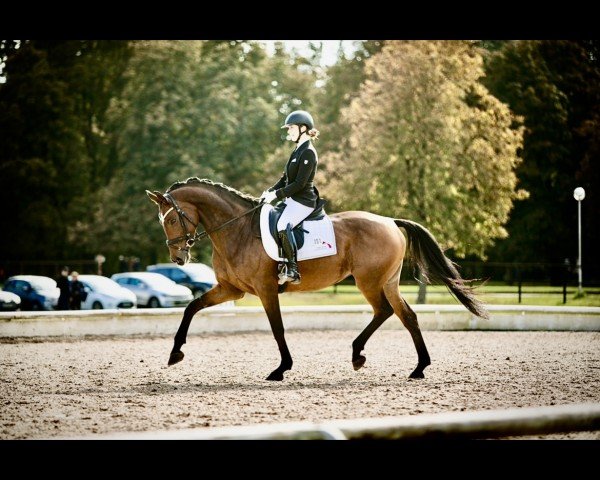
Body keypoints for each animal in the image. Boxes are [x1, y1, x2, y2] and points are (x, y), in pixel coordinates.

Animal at [145, 178, 488, 380]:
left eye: (172, 219)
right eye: (162, 222)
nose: (178, 258)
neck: (237, 230)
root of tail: (389, 221)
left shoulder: (266, 289)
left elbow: (277, 328)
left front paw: (281, 368)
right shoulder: (231, 289)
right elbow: (191, 307)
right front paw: (175, 353)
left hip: (369, 281)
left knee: (385, 311)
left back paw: (359, 354)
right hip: (387, 282)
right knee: (406, 315)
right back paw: (418, 367)